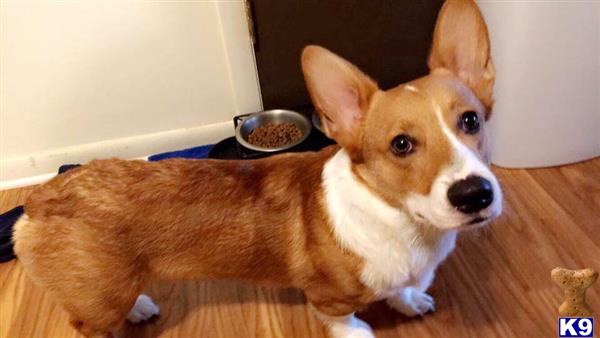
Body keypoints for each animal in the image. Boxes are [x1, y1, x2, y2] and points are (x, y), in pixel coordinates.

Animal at [12, 1, 502, 336]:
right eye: (401, 144)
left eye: (470, 121)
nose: (475, 195)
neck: (405, 222)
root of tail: (39, 200)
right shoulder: (327, 298)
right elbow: (343, 321)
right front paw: (360, 331)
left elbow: (400, 289)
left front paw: (409, 300)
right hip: (98, 301)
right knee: (86, 322)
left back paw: (140, 307)